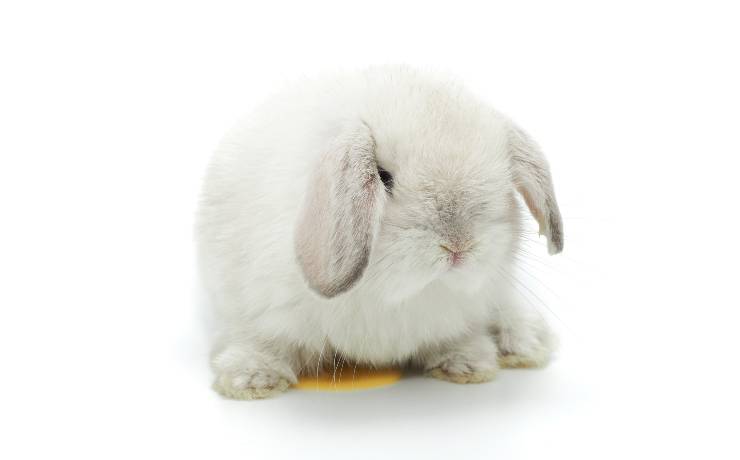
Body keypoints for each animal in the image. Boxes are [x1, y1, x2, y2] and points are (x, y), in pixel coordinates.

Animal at [197, 66, 563, 400]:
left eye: (503, 182)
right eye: (384, 178)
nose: (459, 245)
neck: (391, 296)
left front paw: (468, 363)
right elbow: (264, 341)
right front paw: (252, 379)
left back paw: (524, 341)